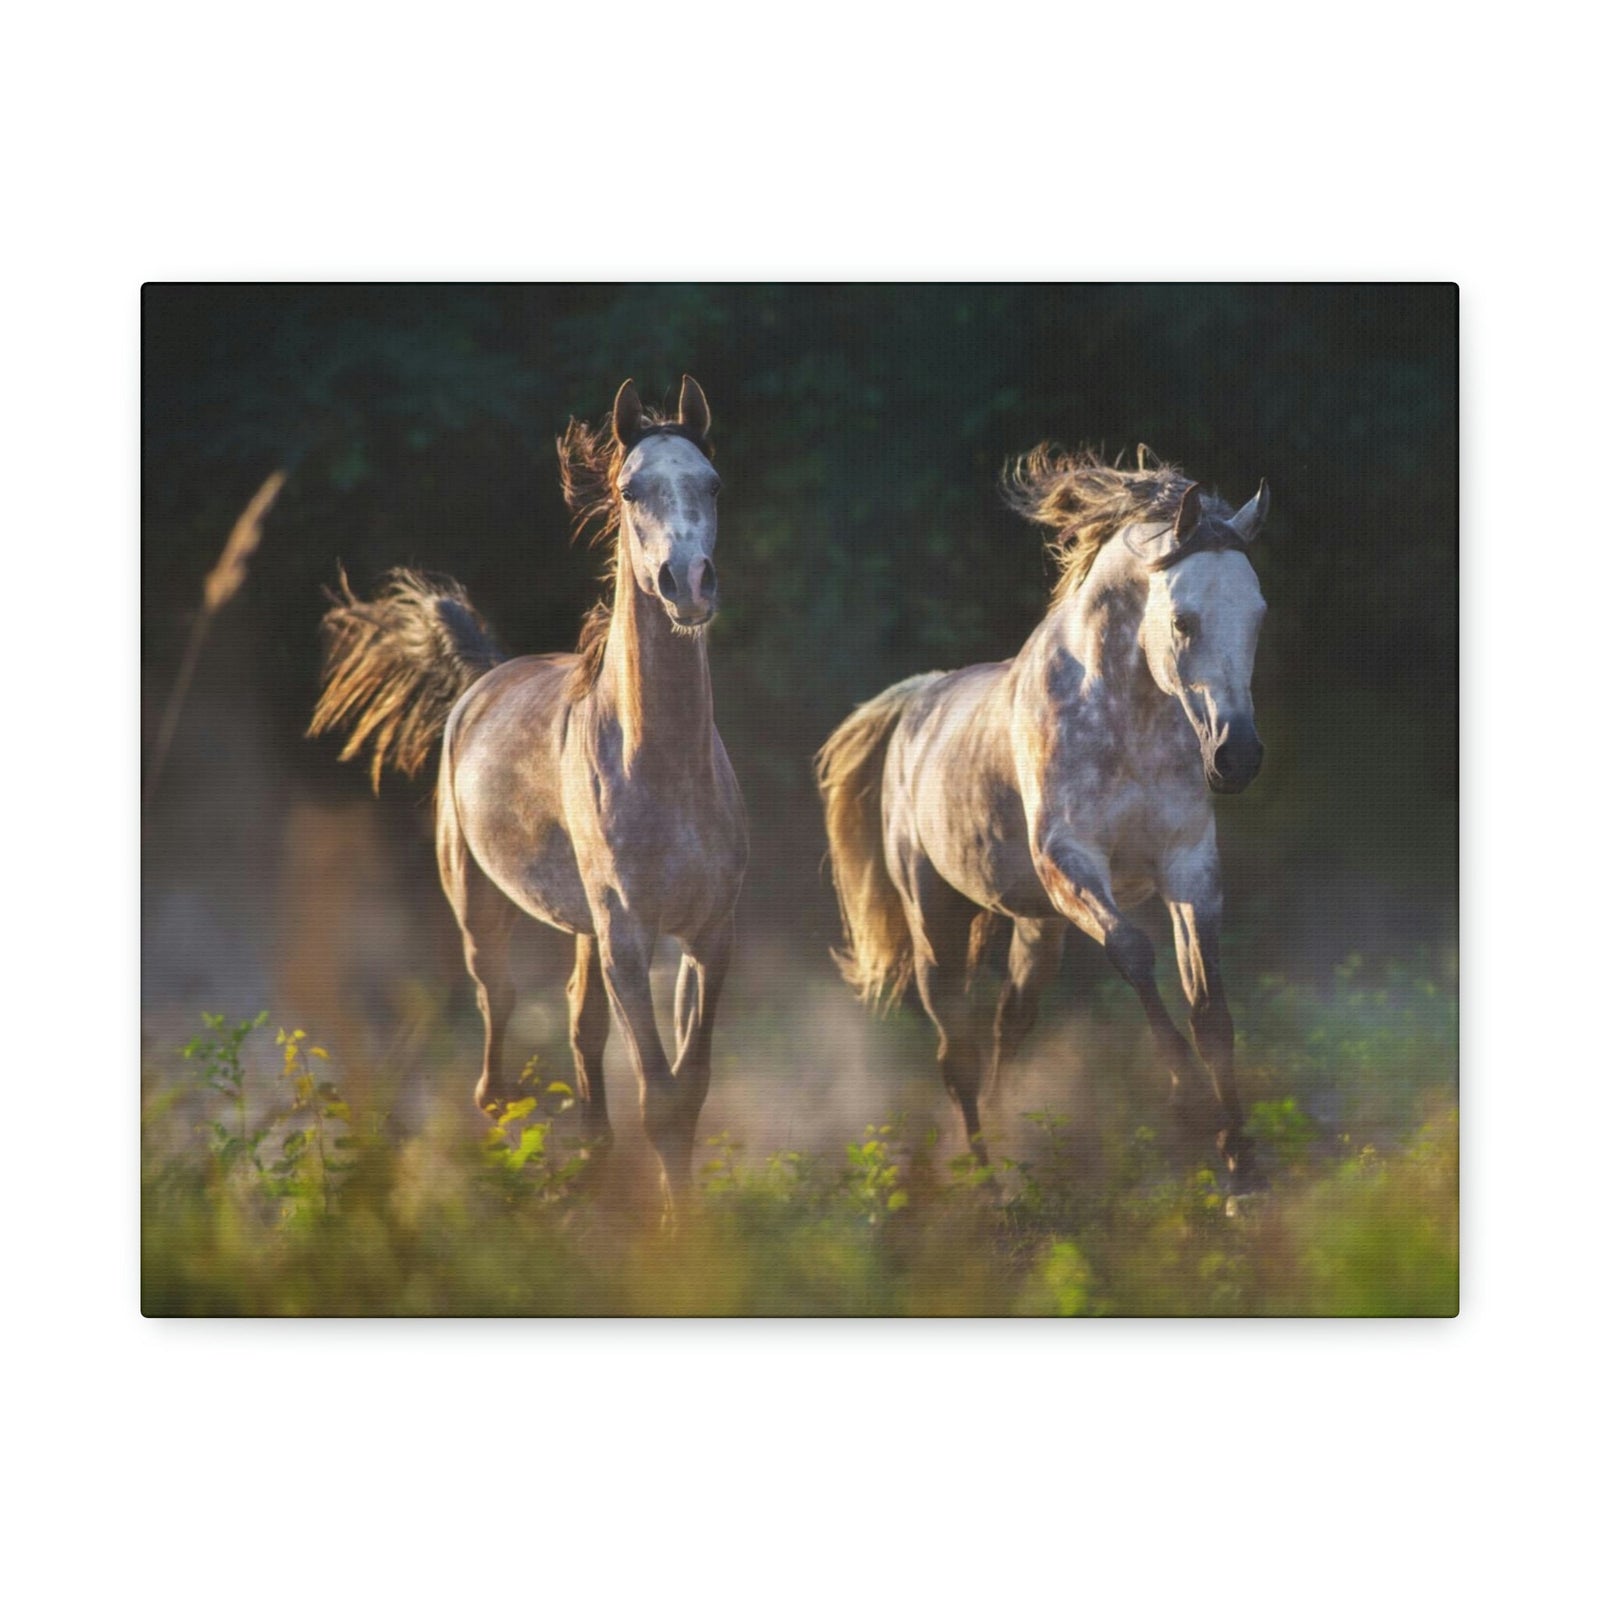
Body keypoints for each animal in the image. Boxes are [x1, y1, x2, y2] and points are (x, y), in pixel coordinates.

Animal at [309, 376, 748, 1205]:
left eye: (712, 483)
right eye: (630, 489)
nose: (689, 585)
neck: (664, 766)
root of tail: (484, 679)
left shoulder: (707, 935)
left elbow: (691, 1087)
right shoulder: (628, 938)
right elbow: (660, 1097)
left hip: (583, 928)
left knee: (580, 1024)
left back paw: (589, 1158)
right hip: (481, 907)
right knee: (497, 1035)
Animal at [817, 447, 1269, 1187]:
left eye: (1257, 616)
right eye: (1183, 620)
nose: (1238, 757)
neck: (1127, 718)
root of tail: (918, 703)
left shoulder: (1189, 867)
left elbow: (1211, 1007)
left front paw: (1242, 1166)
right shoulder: (1071, 863)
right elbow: (1134, 953)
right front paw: (1190, 1104)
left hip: (1037, 927)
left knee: (1010, 1024)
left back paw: (1006, 1142)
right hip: (936, 924)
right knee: (957, 1052)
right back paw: (986, 1181)